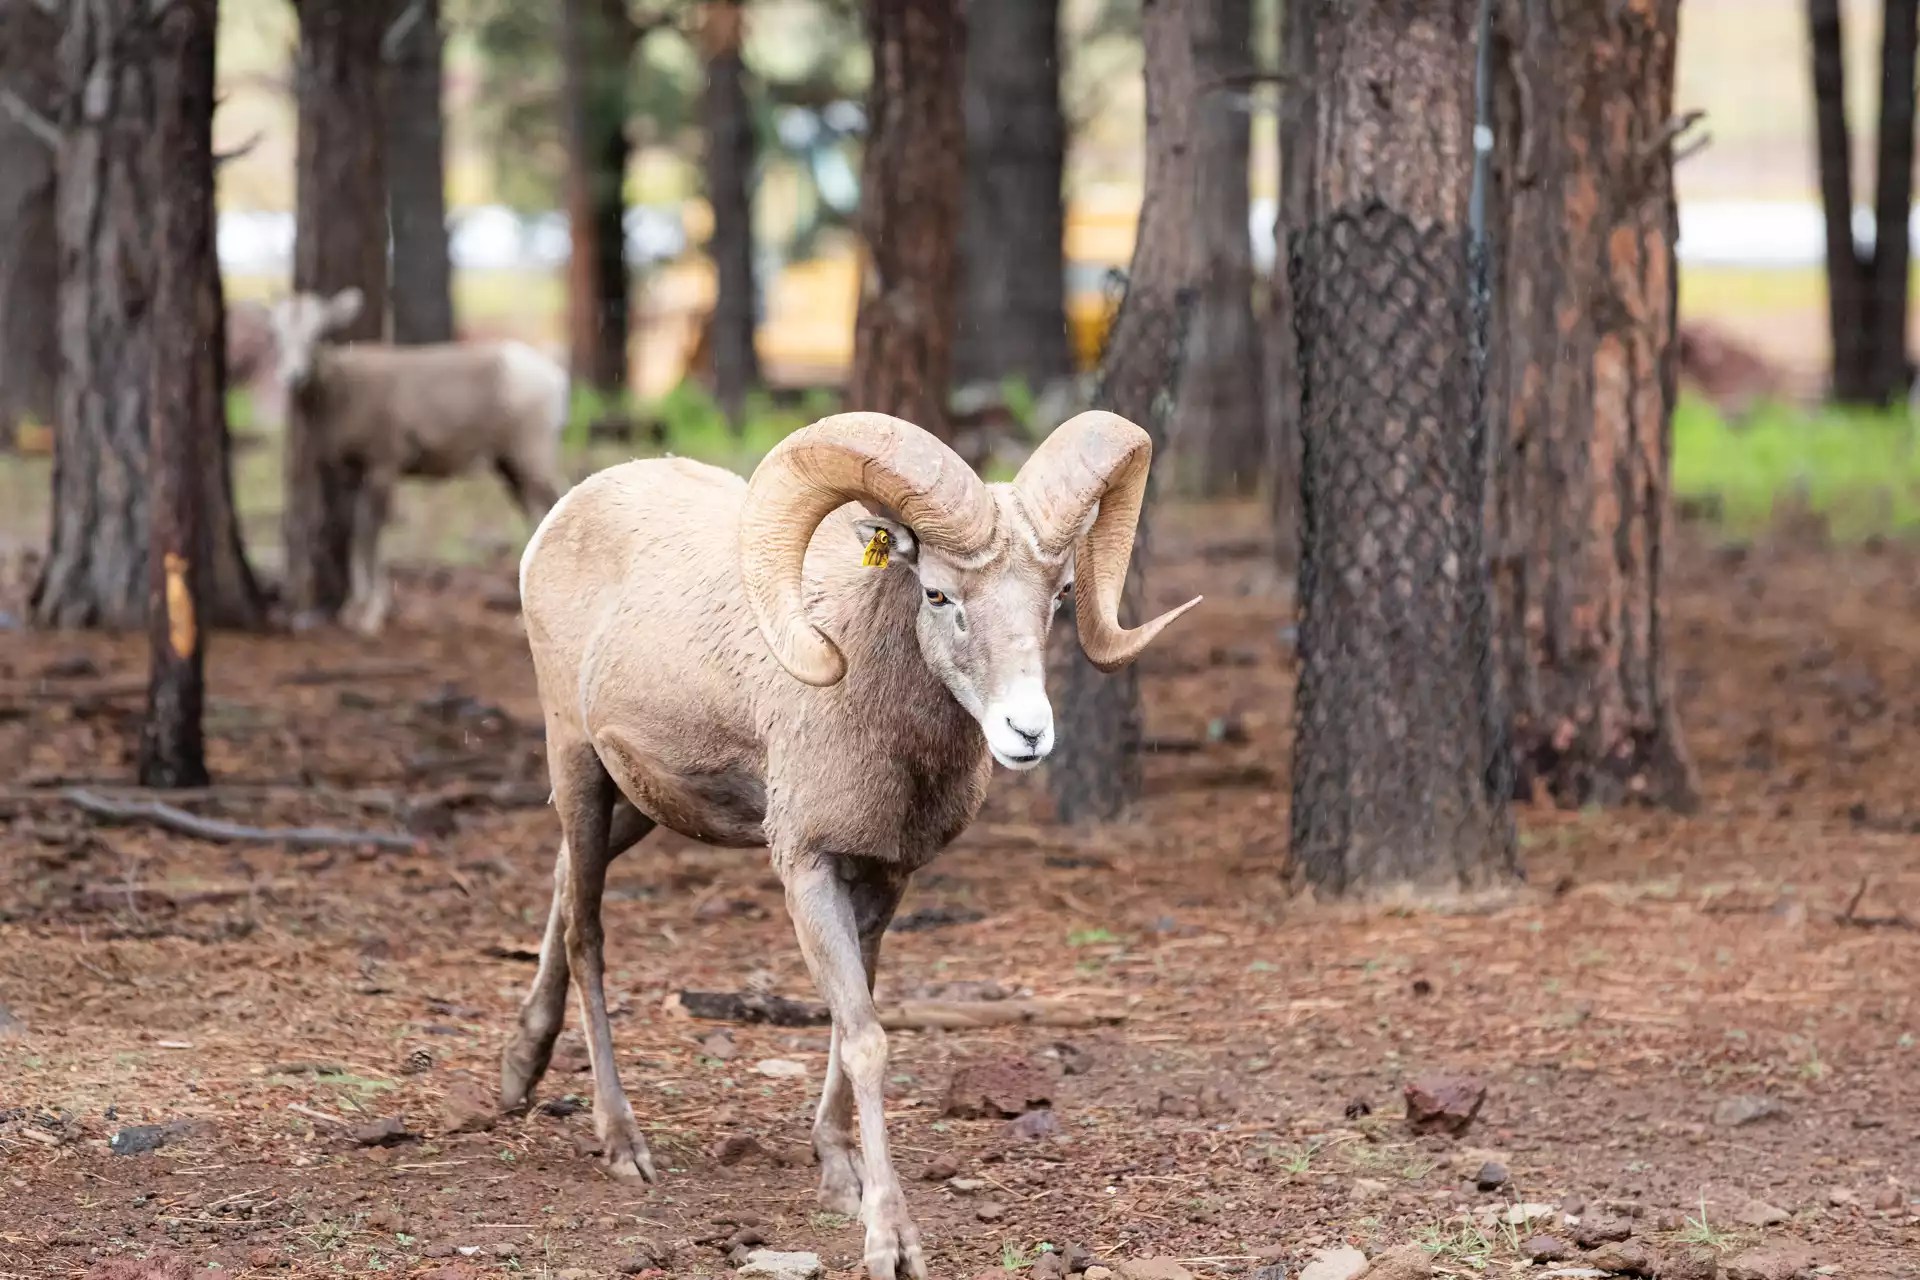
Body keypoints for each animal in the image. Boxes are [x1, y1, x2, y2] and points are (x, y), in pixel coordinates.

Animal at [266, 288, 570, 634]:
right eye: (276, 333)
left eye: (319, 333)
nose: (293, 377)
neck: (341, 390)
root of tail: (553, 377)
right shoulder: (354, 472)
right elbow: (355, 530)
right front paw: (351, 611)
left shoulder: (382, 465)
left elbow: (370, 531)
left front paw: (371, 617)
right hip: (510, 468)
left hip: (533, 458)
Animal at [501, 410, 1200, 1280]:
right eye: (937, 592)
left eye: (1060, 594)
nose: (1027, 732)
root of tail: (562, 518)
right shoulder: (808, 872)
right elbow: (865, 1038)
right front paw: (889, 1241)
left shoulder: (885, 880)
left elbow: (849, 1014)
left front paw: (838, 1175)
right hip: (579, 768)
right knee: (587, 933)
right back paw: (623, 1145)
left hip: (635, 803)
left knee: (565, 883)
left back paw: (518, 1074)